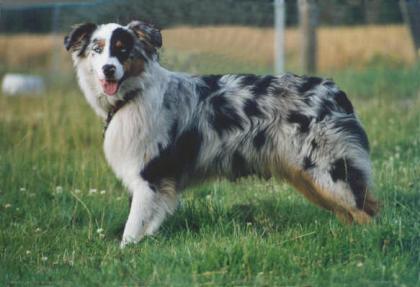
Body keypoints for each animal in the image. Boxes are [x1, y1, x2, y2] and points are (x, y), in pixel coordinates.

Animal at [65, 21, 380, 249]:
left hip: (328, 171)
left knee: (367, 213)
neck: (134, 95)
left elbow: (133, 226)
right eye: (97, 48)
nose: (108, 69)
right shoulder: (163, 184)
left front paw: (124, 253)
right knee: (353, 212)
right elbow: (151, 222)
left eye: (123, 49)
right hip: (308, 177)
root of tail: (334, 91)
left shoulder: (149, 175)